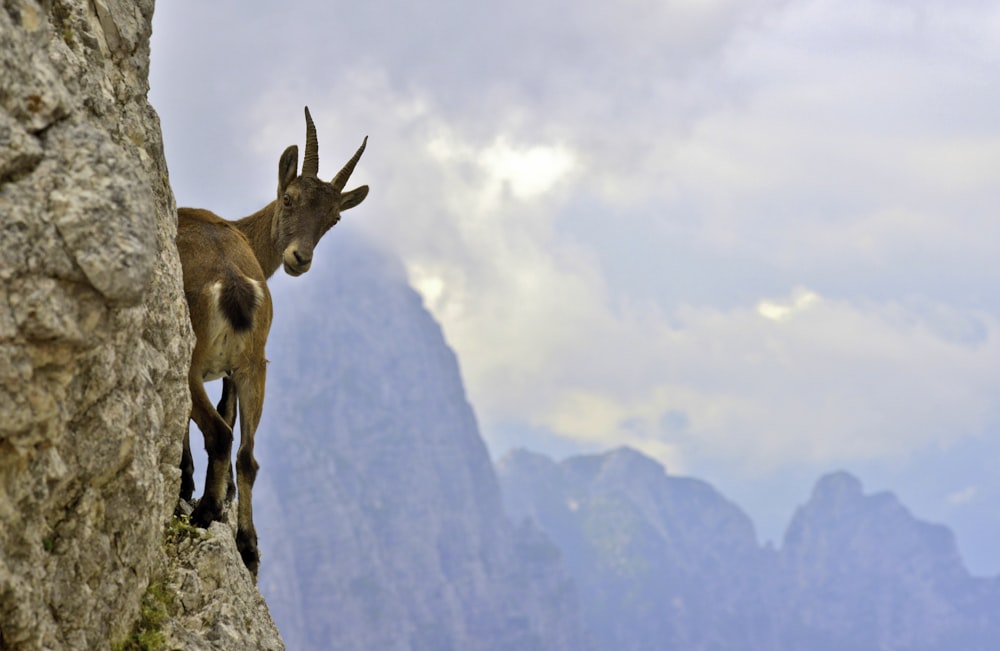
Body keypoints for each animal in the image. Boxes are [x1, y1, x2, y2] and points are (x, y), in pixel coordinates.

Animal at [178, 108, 370, 580]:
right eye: (289, 199)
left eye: (334, 218)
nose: (300, 258)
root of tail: (232, 284)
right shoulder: (233, 371)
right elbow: (229, 415)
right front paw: (221, 494)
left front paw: (190, 484)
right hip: (255, 365)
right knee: (247, 454)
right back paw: (247, 547)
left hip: (193, 362)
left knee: (220, 434)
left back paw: (205, 513)